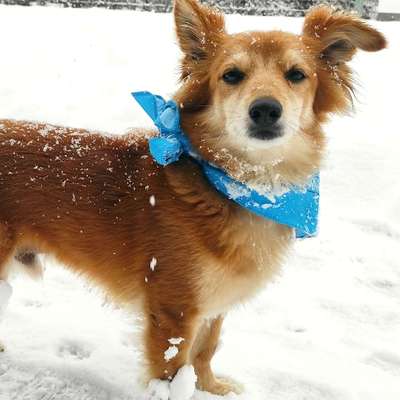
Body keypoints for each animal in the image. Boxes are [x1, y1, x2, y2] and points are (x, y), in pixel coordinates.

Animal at [0, 0, 388, 394]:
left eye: (296, 74)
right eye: (231, 76)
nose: (265, 109)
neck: (242, 185)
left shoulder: (214, 300)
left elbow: (205, 349)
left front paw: (210, 387)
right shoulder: (174, 308)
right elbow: (172, 370)